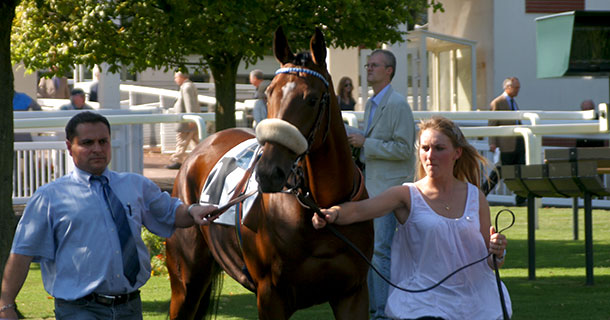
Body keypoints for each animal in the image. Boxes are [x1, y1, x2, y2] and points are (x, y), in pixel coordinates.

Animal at [164, 28, 370, 320]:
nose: (268, 172)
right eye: (269, 93)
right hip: (187, 282)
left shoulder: (353, 293)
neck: (322, 208)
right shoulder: (271, 296)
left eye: (312, 99)